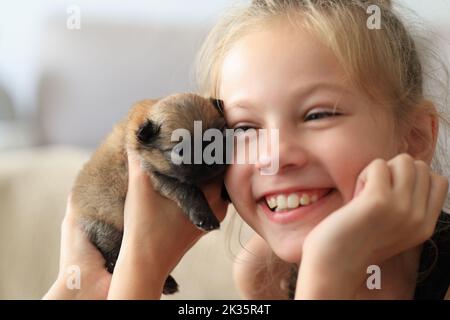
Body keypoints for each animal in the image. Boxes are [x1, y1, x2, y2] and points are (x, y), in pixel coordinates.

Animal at [71, 91, 227, 294]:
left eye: (219, 138)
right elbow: (189, 189)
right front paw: (204, 215)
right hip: (105, 228)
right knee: (113, 253)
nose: (212, 161)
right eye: (181, 151)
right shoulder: (158, 176)